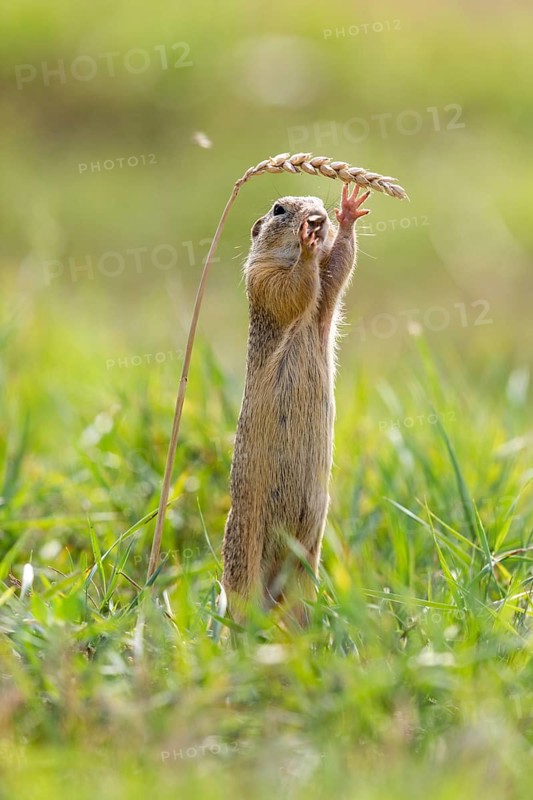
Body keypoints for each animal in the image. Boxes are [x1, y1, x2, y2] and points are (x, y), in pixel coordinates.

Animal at [221, 183, 370, 624]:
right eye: (278, 209)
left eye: (319, 202)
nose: (317, 216)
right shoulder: (261, 279)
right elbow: (290, 289)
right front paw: (306, 243)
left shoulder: (323, 302)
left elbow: (336, 271)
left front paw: (347, 214)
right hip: (243, 563)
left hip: (303, 570)